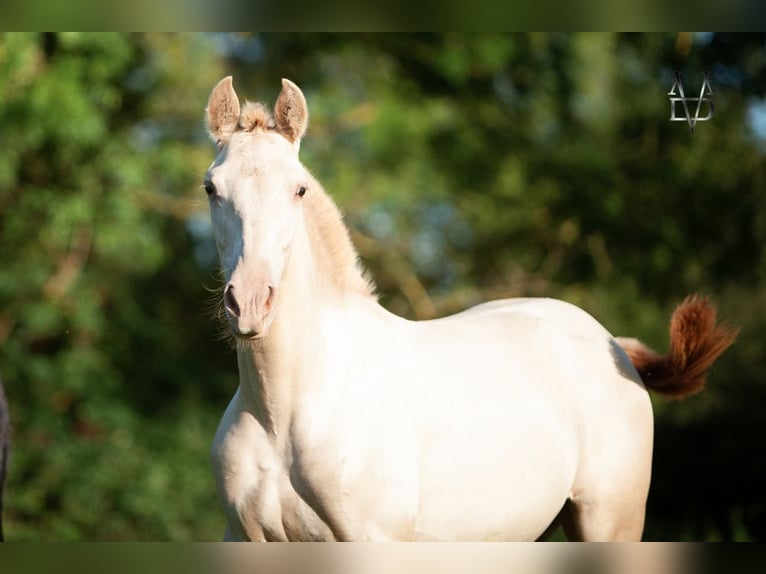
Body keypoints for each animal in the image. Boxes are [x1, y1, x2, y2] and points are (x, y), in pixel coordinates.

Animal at [204, 77, 736, 544]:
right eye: (211, 188)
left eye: (299, 189)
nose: (249, 304)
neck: (283, 416)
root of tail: (614, 346)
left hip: (611, 522)